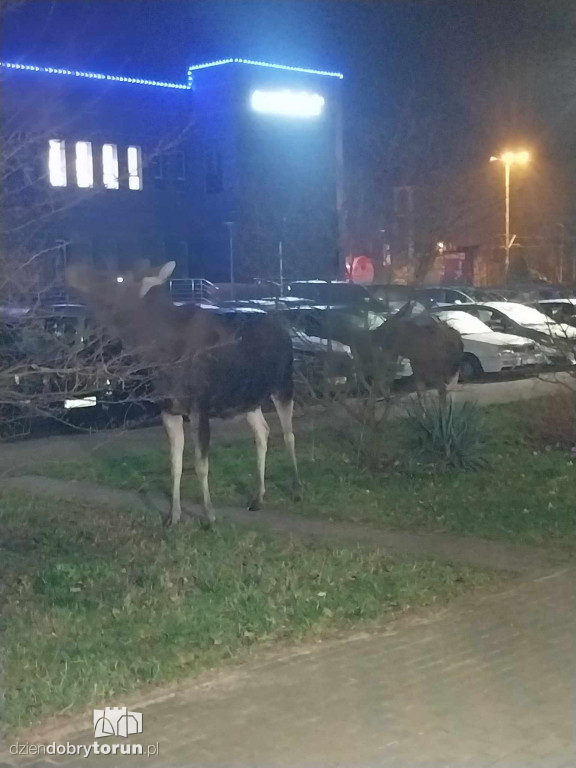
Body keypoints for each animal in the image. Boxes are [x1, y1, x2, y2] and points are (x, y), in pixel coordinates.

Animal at [66, 260, 302, 524]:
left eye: (119, 278)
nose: (74, 271)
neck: (156, 353)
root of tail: (285, 330)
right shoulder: (169, 409)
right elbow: (175, 464)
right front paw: (174, 515)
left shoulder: (200, 406)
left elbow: (200, 463)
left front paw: (209, 515)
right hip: (248, 399)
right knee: (263, 432)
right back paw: (258, 497)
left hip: (283, 384)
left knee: (288, 434)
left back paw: (296, 488)